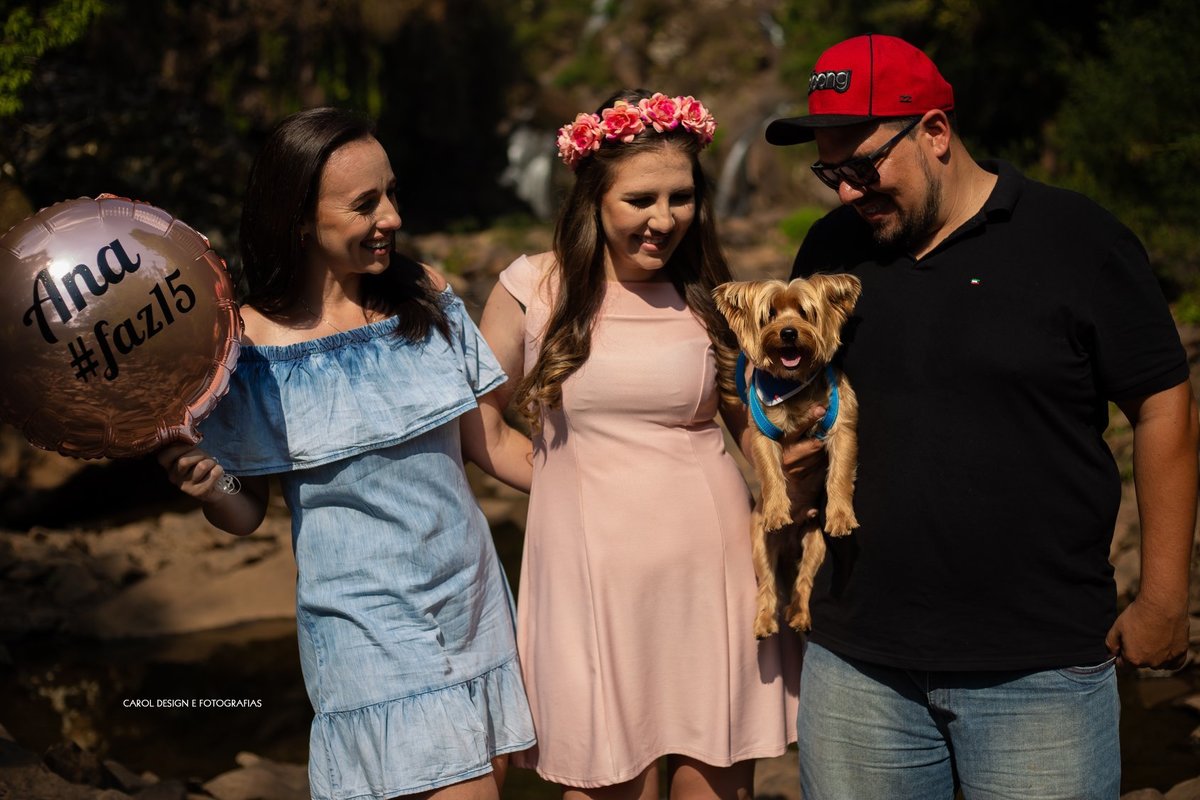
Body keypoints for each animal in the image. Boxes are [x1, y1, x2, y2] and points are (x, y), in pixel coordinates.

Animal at [713, 274, 861, 636]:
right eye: (769, 315)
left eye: (806, 313)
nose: (789, 332)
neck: (793, 385)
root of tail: (790, 545)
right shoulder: (762, 434)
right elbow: (770, 471)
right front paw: (777, 510)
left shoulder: (843, 427)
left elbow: (840, 474)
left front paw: (841, 517)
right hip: (760, 544)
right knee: (768, 585)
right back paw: (765, 622)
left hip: (815, 543)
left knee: (803, 582)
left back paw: (800, 616)